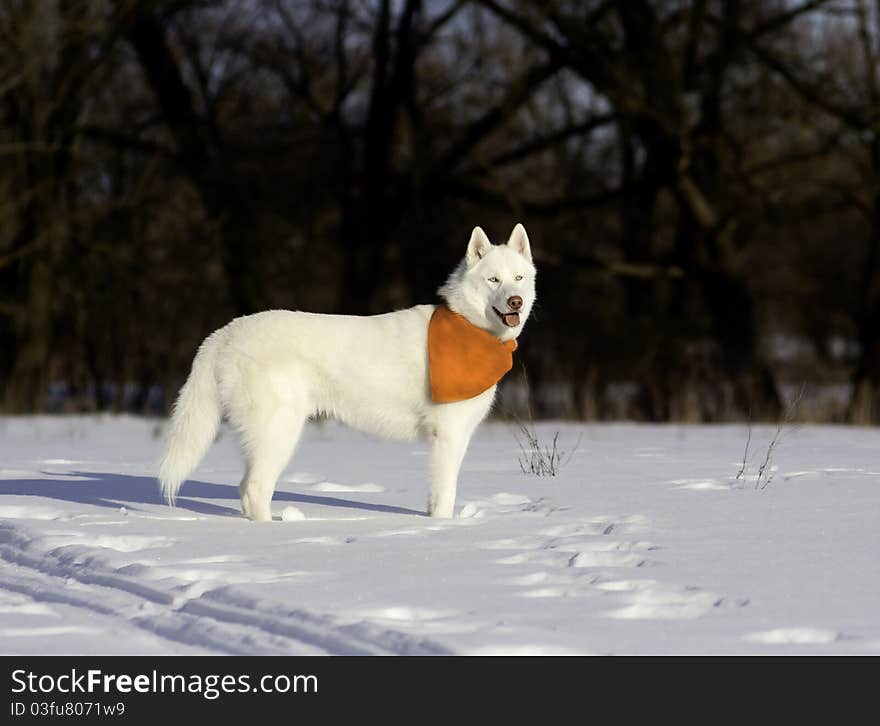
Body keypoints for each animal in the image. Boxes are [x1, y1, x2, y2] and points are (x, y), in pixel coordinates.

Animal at [158, 225, 536, 520]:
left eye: (518, 278)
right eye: (493, 280)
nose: (515, 301)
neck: (470, 328)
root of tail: (223, 333)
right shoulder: (448, 435)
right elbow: (445, 495)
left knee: (246, 490)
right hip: (278, 431)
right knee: (254, 489)